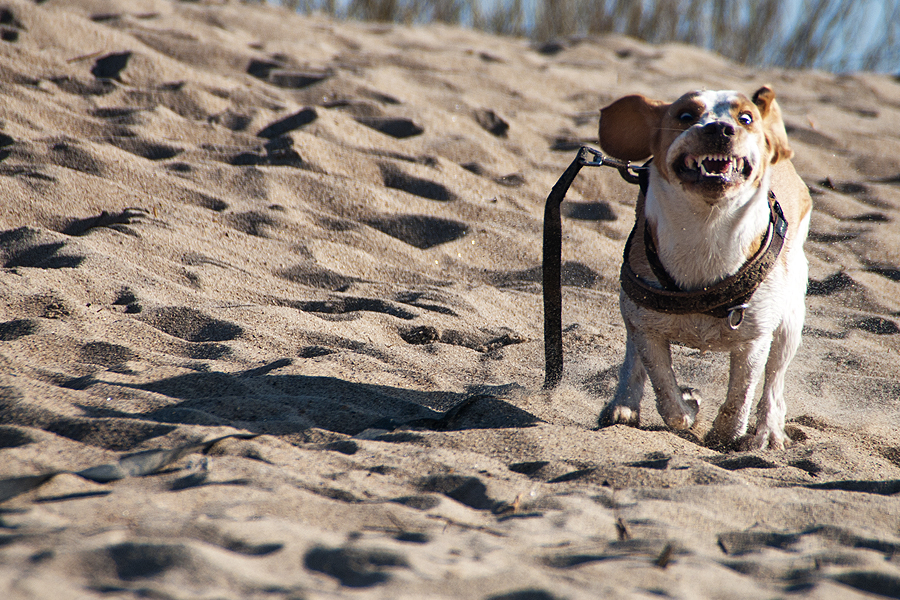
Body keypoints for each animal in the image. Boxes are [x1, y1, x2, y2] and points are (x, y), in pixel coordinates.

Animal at [596, 86, 816, 448]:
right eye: (685, 115)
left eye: (745, 118)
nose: (720, 129)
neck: (707, 227)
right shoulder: (647, 327)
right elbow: (663, 387)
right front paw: (688, 408)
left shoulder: (754, 336)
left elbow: (742, 392)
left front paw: (725, 434)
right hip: (632, 309)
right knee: (633, 355)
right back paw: (623, 405)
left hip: (790, 320)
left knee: (774, 381)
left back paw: (768, 432)